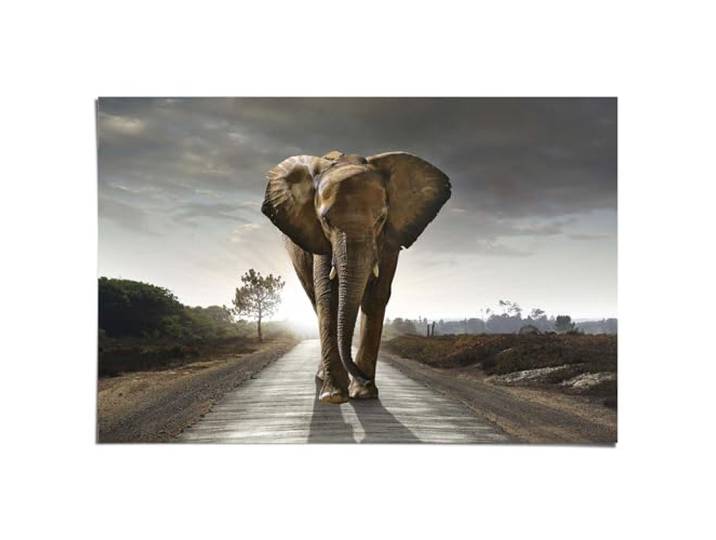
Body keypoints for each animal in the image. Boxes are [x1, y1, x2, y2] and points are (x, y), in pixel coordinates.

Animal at [261, 150, 451, 404]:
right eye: (325, 220)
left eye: (381, 219)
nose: (364, 378)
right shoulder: (319, 239)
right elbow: (328, 296)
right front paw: (334, 396)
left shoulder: (389, 239)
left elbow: (376, 296)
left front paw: (364, 393)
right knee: (315, 299)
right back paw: (323, 379)